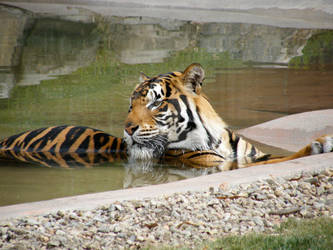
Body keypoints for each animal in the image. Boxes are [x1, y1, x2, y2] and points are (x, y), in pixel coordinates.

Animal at [122, 63, 332, 166]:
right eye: (131, 105)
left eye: (156, 103)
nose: (127, 129)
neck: (214, 139)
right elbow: (285, 158)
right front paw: (321, 143)